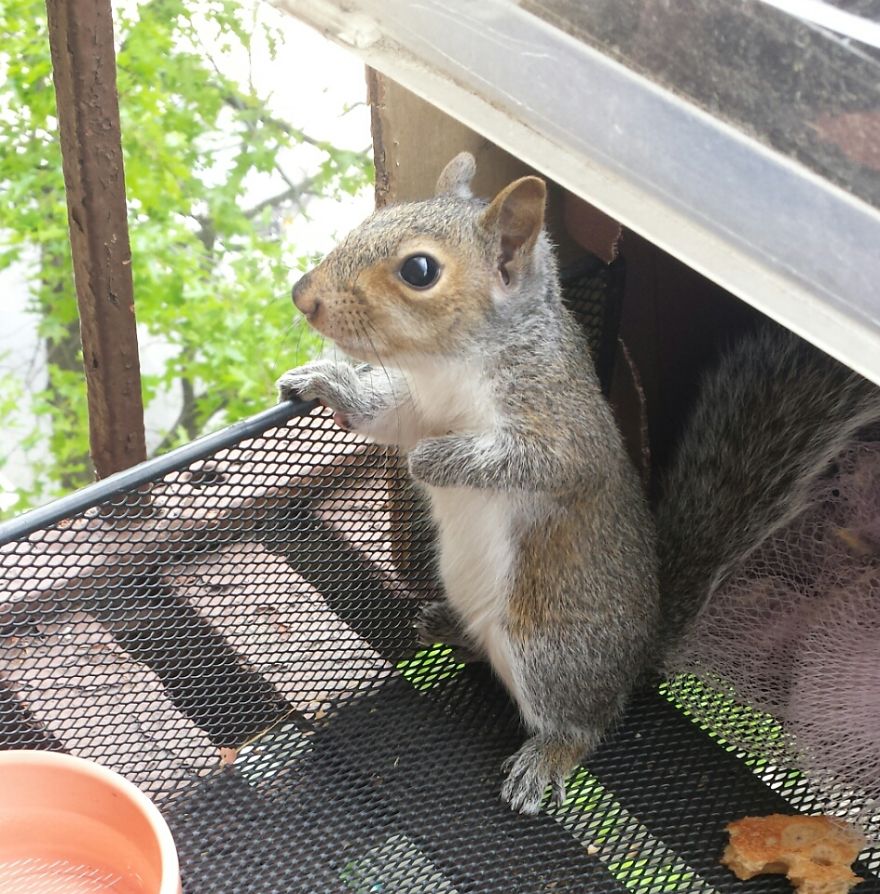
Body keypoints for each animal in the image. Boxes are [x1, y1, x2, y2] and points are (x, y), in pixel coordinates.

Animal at [277, 151, 880, 814]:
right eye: (371, 219)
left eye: (419, 270)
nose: (302, 296)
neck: (449, 368)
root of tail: (639, 654)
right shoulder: (415, 407)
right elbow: (381, 416)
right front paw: (324, 381)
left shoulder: (565, 431)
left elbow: (535, 463)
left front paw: (433, 462)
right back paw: (448, 628)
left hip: (549, 651)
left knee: (585, 725)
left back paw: (546, 757)